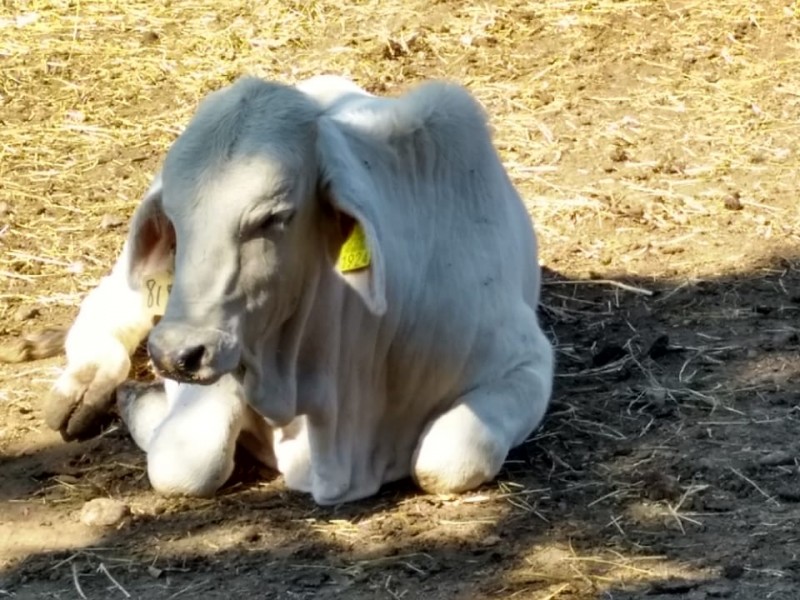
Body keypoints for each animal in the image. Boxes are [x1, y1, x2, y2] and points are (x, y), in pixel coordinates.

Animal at [45, 75, 556, 506]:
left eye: (274, 216)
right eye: (173, 217)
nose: (175, 355)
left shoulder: (526, 364)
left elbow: (446, 461)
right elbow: (185, 462)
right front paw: (138, 400)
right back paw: (84, 387)